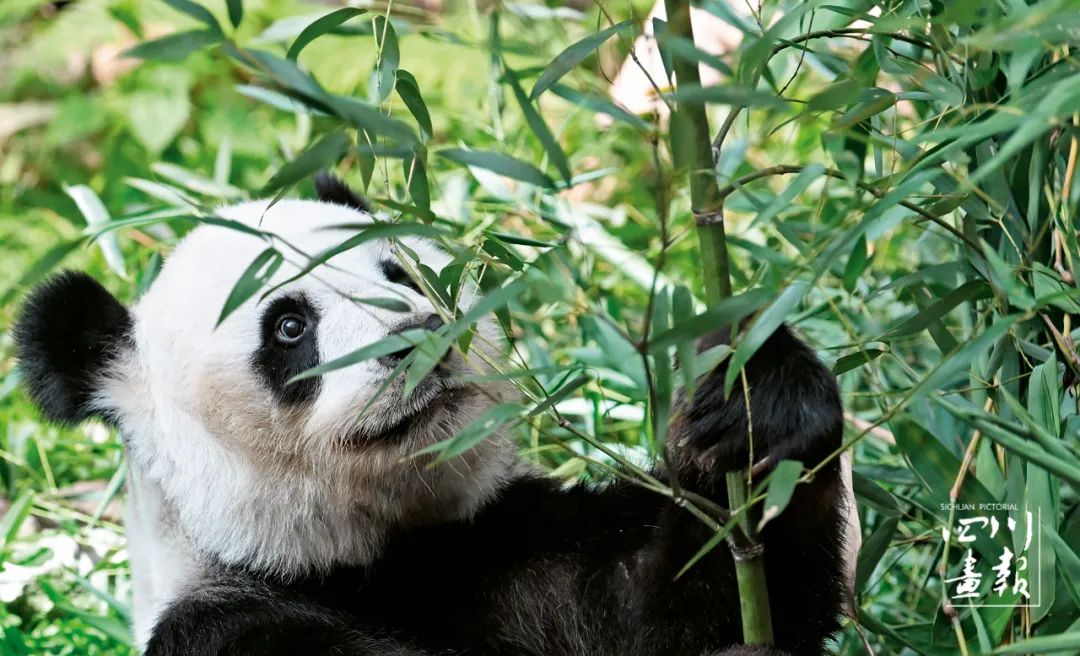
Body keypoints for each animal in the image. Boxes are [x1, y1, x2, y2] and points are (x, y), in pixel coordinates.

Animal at [12, 175, 846, 656]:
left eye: (400, 272)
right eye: (289, 326)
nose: (420, 334)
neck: (376, 558)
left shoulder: (506, 547)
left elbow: (682, 607)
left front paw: (756, 400)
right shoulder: (228, 628)